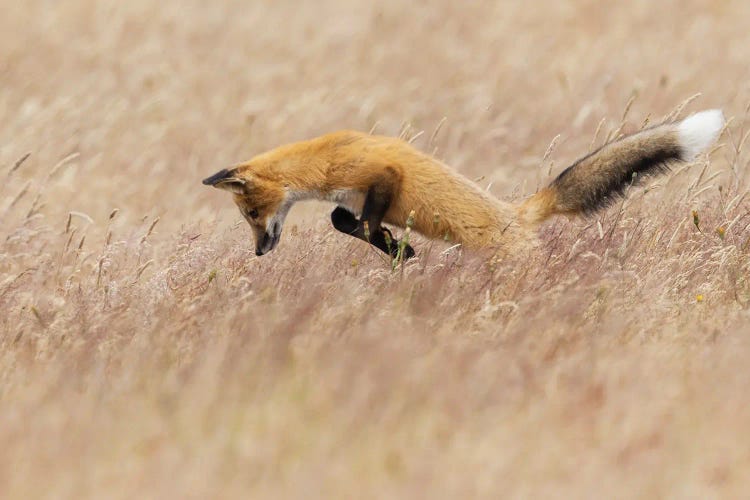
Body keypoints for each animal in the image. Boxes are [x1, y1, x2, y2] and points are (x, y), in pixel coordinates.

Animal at [203, 109, 724, 258]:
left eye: (252, 215)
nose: (259, 253)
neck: (322, 164)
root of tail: (520, 214)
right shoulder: (352, 196)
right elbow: (342, 220)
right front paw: (396, 247)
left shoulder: (380, 174)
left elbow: (359, 223)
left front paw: (396, 249)